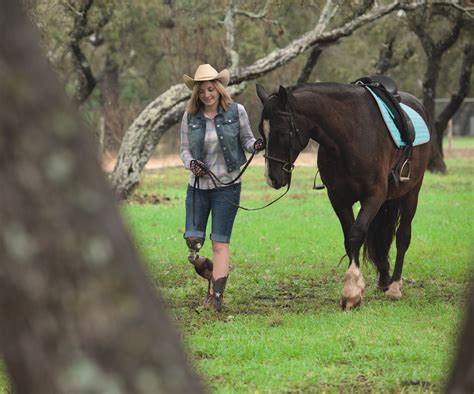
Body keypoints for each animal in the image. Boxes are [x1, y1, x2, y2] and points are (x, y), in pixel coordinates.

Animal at [258, 81, 432, 310]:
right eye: (261, 132)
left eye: (280, 131)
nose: (272, 178)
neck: (348, 136)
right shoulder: (338, 198)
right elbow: (349, 238)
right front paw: (354, 287)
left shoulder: (374, 196)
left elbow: (356, 233)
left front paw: (351, 292)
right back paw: (385, 279)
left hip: (412, 192)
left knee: (403, 236)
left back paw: (394, 286)